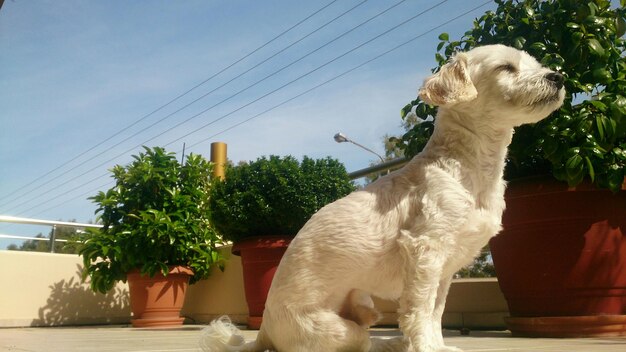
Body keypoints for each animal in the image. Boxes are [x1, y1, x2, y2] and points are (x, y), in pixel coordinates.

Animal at [201, 45, 564, 350]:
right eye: (506, 67)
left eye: (535, 63)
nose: (558, 76)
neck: (466, 165)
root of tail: (264, 332)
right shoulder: (424, 252)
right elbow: (419, 313)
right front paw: (425, 347)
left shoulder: (445, 268)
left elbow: (436, 313)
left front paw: (438, 346)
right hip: (335, 330)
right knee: (362, 341)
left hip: (363, 304)